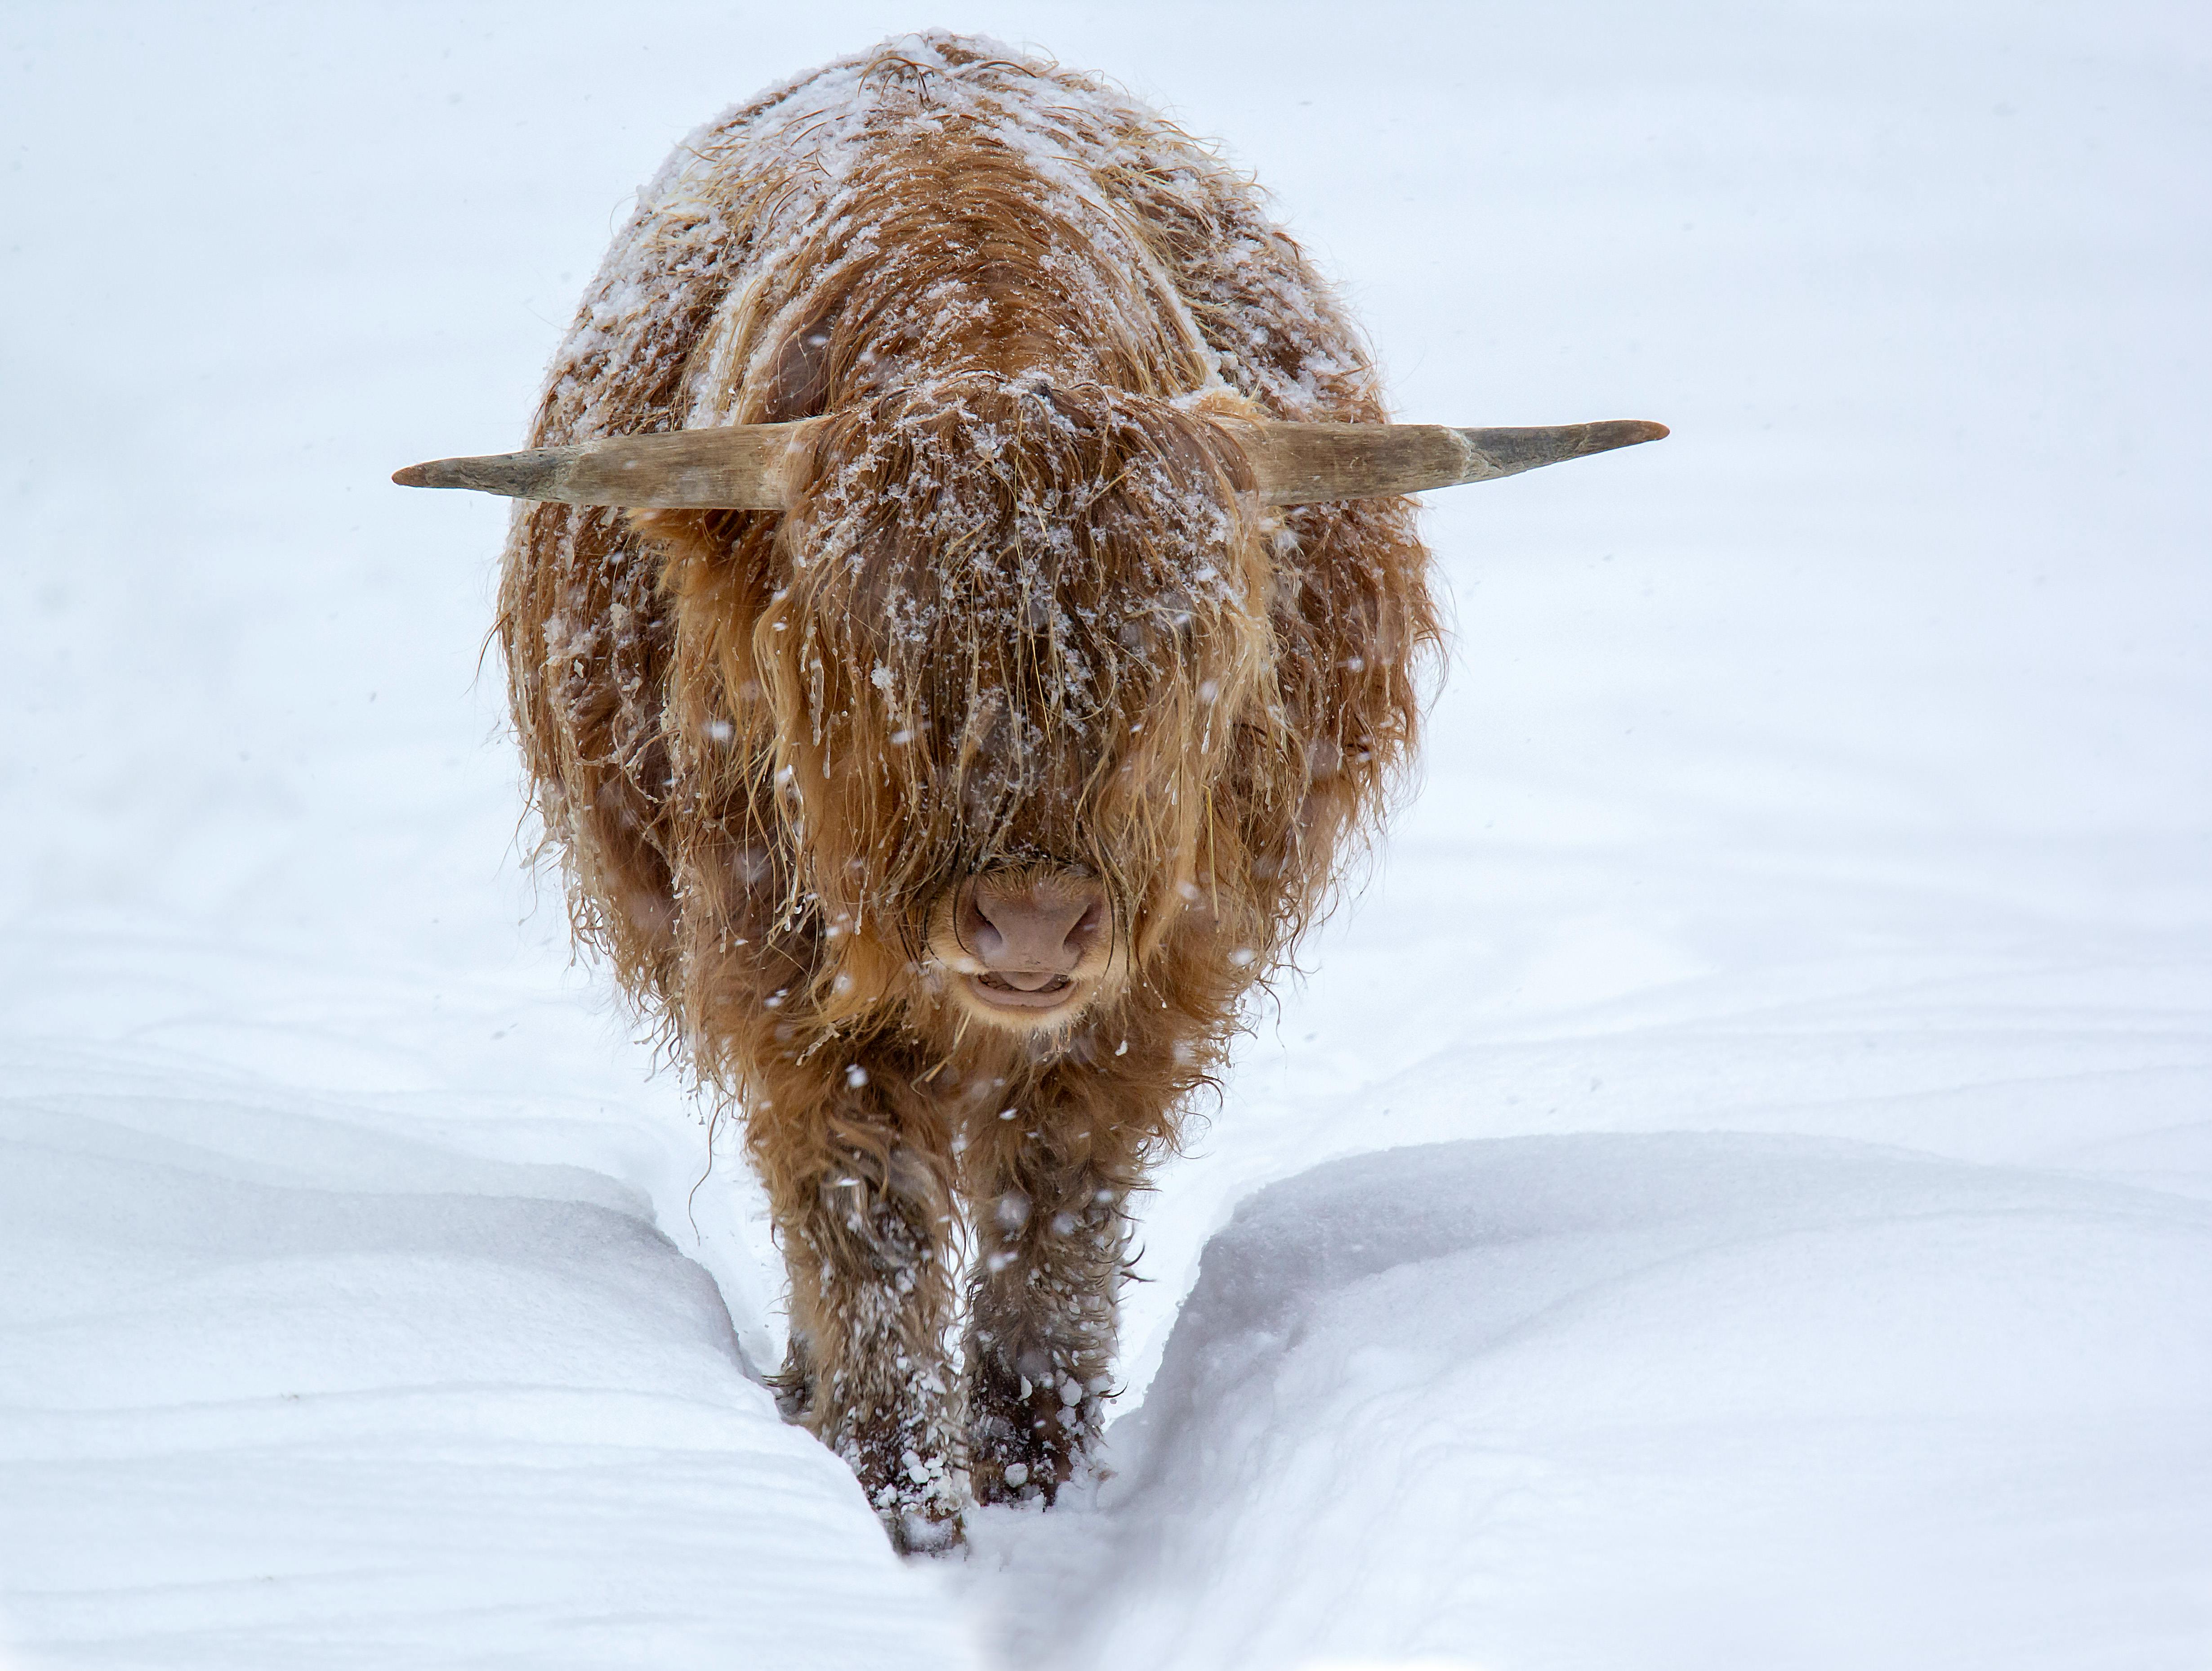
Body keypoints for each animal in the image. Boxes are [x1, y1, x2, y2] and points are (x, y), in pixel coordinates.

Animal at [396, 33, 1662, 1552]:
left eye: (1177, 664)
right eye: (875, 663)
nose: (1033, 926)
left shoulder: (1154, 989)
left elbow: (1051, 1230)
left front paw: (1035, 1487)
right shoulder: (775, 981)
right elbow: (862, 1236)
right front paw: (897, 1503)